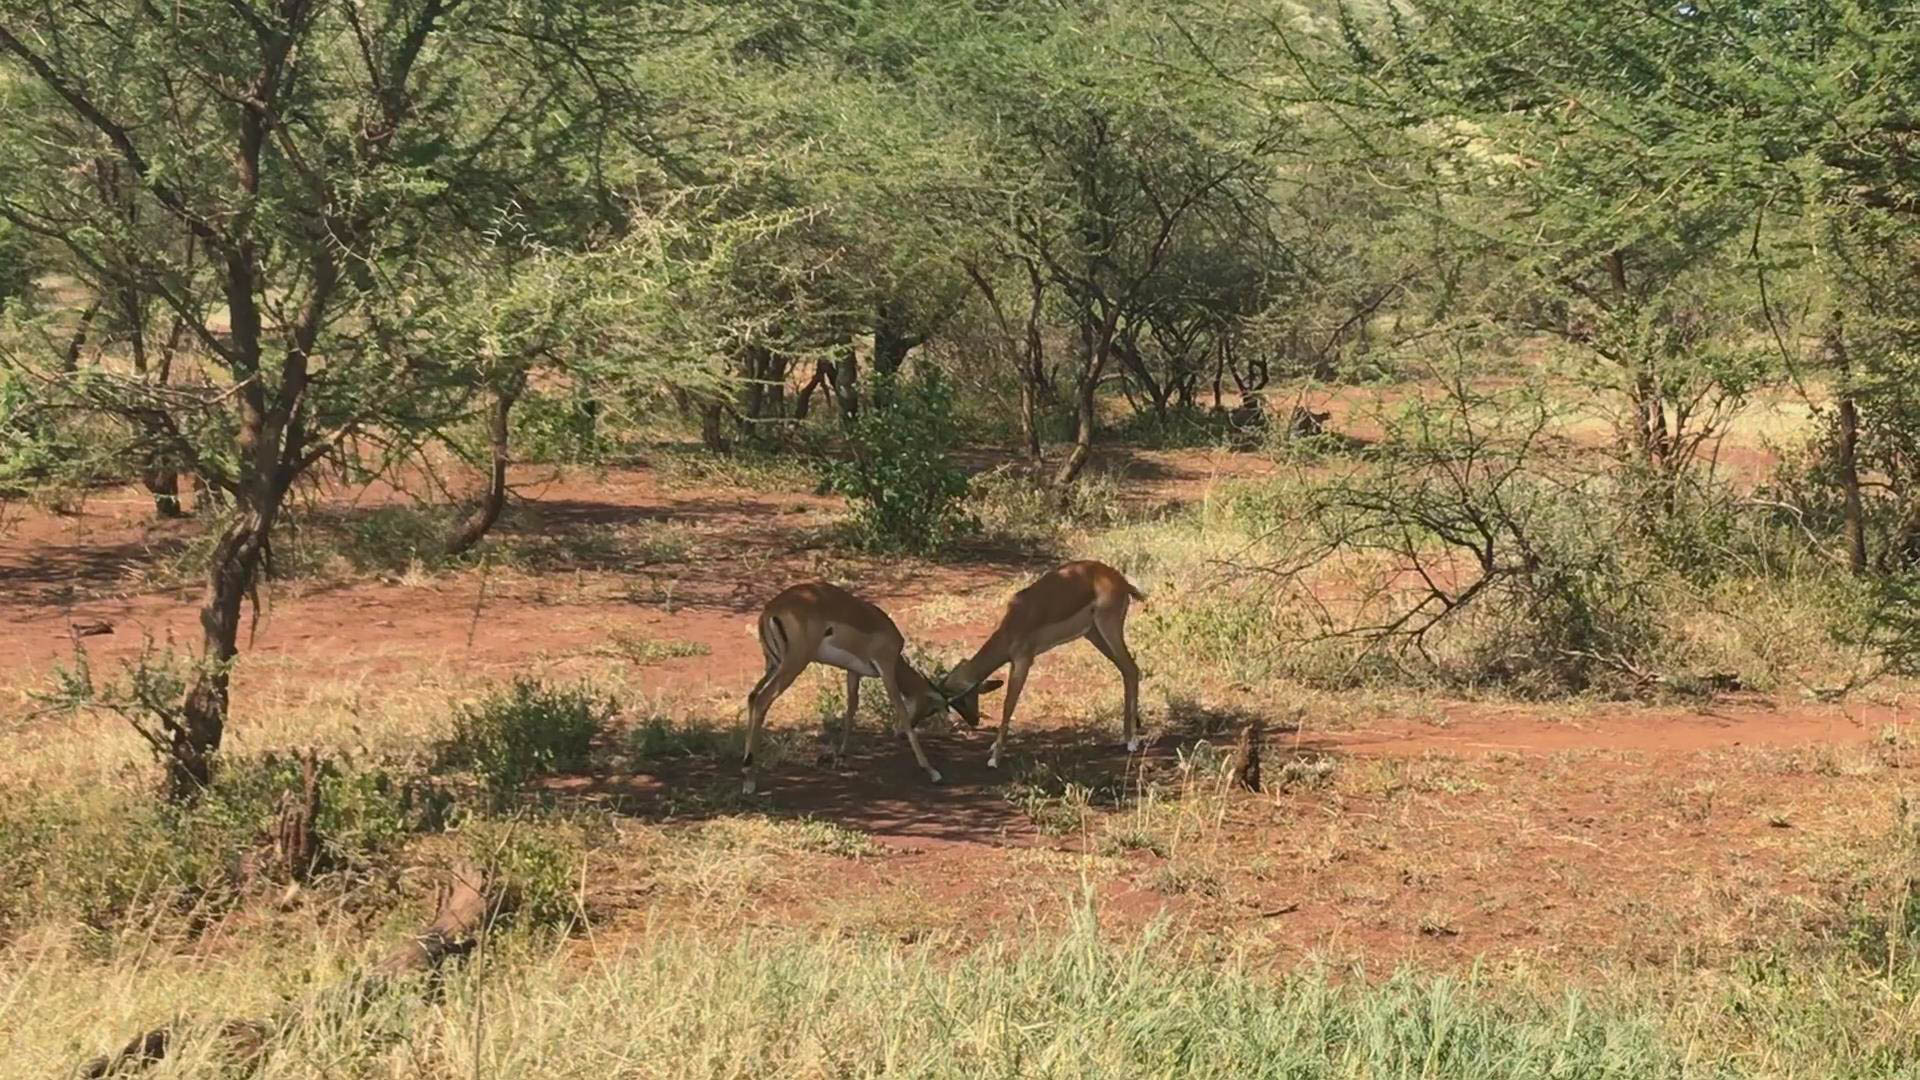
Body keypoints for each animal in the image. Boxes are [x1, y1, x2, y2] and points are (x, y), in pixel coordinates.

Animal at [737, 580, 998, 791]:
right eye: (933, 708)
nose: (974, 721)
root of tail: (771, 610)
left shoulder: (854, 672)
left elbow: (852, 708)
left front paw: (841, 756)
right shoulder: (886, 668)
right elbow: (900, 711)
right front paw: (932, 771)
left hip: (773, 664)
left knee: (752, 696)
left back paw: (747, 769)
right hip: (793, 664)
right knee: (762, 700)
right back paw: (749, 779)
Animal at [940, 564, 1144, 764]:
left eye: (960, 699)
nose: (974, 721)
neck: (1014, 623)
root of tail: (1120, 580)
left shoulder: (1023, 662)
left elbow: (1008, 706)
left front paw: (994, 758)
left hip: (1108, 628)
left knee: (1132, 669)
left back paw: (1133, 741)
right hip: (1093, 634)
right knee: (1127, 671)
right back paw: (1126, 737)